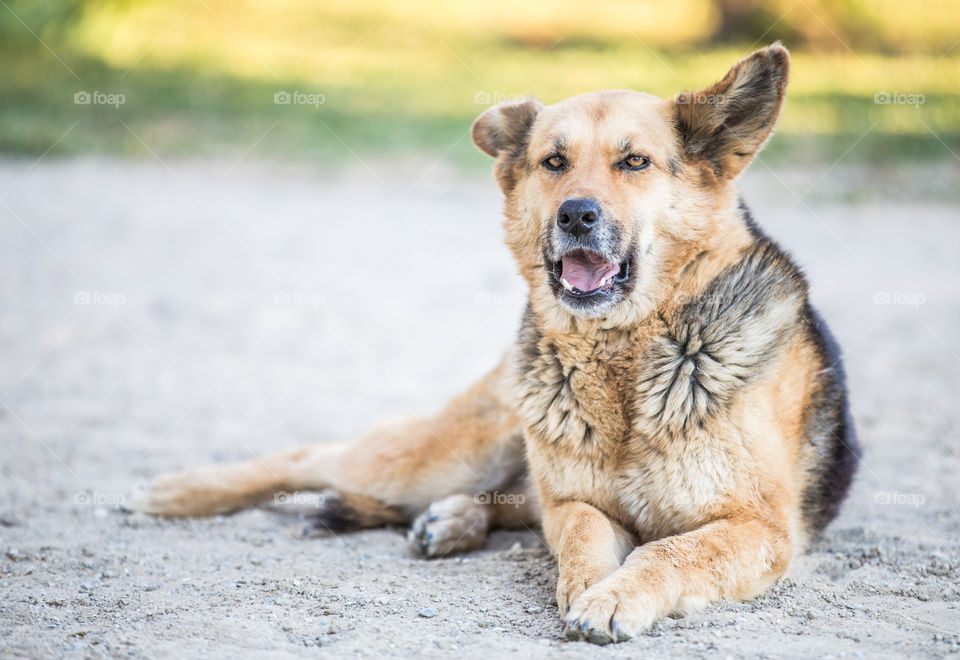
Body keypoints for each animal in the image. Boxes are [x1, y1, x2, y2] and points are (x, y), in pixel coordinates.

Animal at [131, 45, 860, 644]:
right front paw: (588, 586)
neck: (628, 356)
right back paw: (176, 492)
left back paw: (450, 522)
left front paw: (614, 596)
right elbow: (582, 539)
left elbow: (668, 550)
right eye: (553, 163)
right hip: (450, 451)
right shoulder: (577, 503)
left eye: (635, 162)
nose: (576, 215)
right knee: (316, 457)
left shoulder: (760, 528)